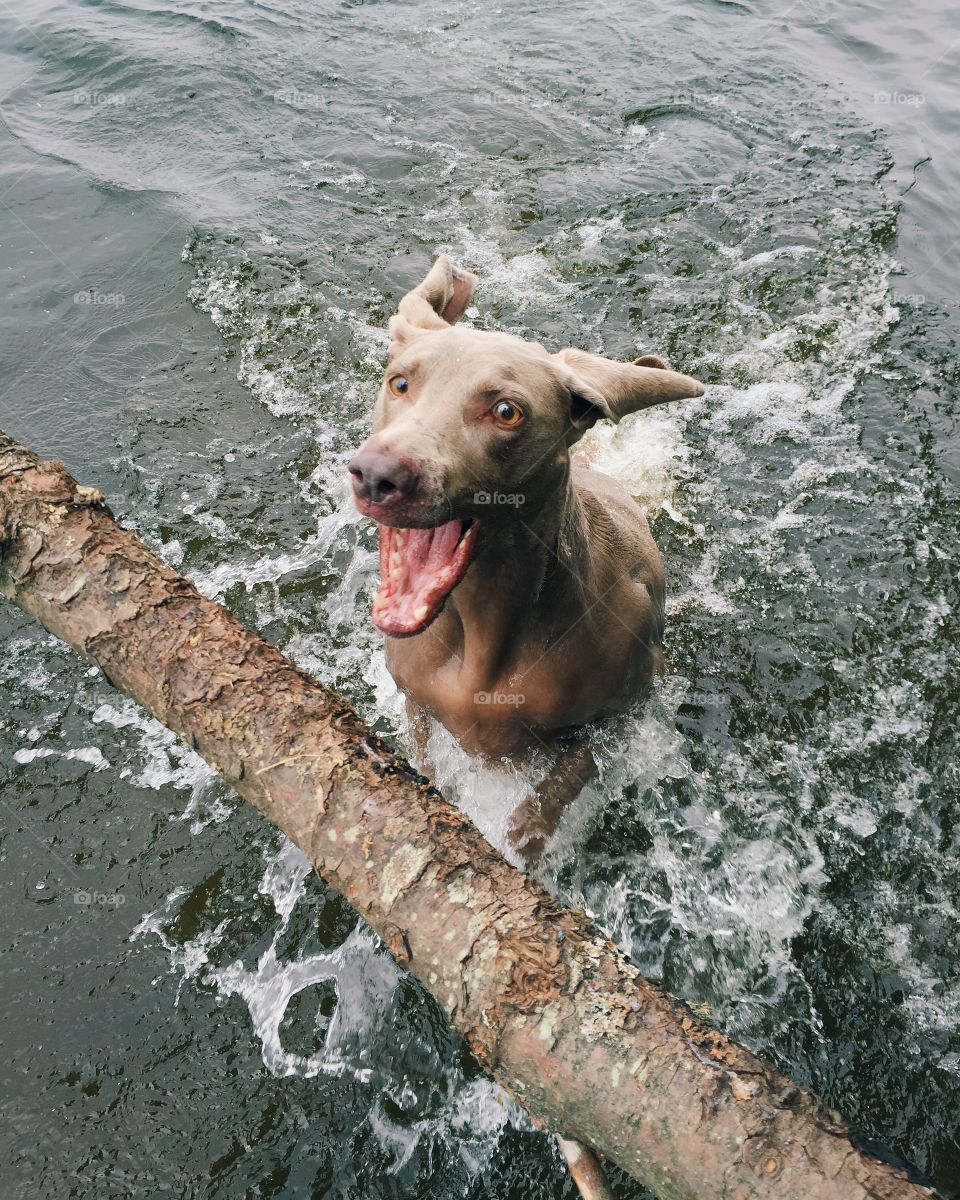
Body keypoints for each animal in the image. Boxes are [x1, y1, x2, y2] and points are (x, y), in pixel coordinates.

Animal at [348, 254, 700, 854]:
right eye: (400, 383)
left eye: (507, 411)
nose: (377, 474)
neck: (483, 632)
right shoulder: (416, 700)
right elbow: (424, 760)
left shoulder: (616, 715)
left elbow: (554, 793)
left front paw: (523, 839)